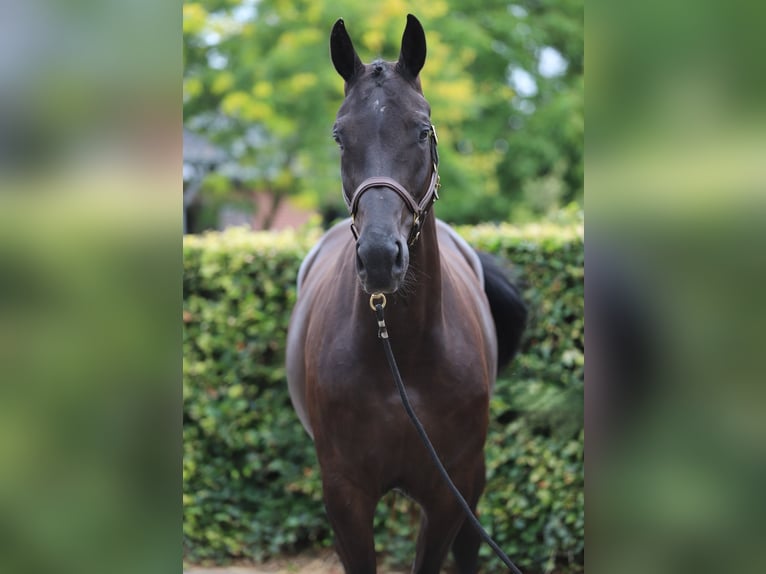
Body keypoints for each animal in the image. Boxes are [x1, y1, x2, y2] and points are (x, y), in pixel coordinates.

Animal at [286, 15, 526, 574]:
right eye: (340, 136)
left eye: (422, 129)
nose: (379, 257)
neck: (405, 356)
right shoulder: (345, 496)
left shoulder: (447, 495)